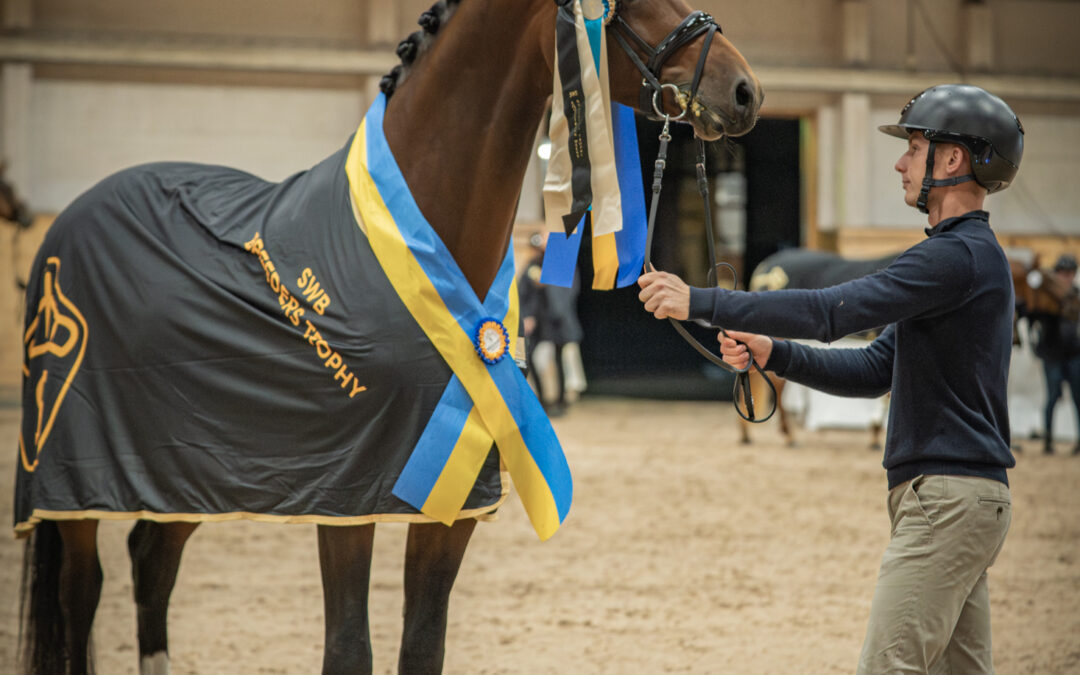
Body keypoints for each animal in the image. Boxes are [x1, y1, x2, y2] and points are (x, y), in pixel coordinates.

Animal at [15, 2, 762, 674]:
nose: (745, 89)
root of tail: (65, 227)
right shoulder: (342, 495)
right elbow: (349, 650)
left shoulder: (453, 504)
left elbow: (422, 647)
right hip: (74, 478)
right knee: (83, 592)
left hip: (185, 469)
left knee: (152, 564)